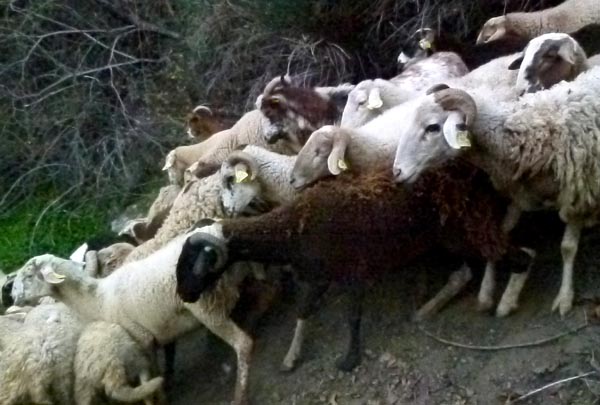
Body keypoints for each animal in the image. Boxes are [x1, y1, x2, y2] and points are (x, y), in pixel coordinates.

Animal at [11, 236, 258, 405]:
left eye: (29, 276)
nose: (13, 297)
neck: (98, 299)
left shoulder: (142, 339)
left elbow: (152, 373)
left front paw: (161, 397)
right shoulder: (160, 329)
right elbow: (166, 360)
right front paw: (168, 381)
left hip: (206, 309)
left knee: (244, 344)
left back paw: (240, 396)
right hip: (237, 281)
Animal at [175, 164, 533, 375]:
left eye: (197, 263)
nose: (184, 295)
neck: (293, 228)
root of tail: (471, 170)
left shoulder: (355, 271)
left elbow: (352, 317)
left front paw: (349, 360)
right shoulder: (320, 276)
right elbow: (303, 311)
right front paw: (291, 357)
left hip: (462, 229)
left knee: (519, 255)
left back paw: (502, 301)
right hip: (440, 238)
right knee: (466, 271)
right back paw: (427, 309)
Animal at [392, 67, 600, 316]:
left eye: (432, 127)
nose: (396, 172)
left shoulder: (577, 193)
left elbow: (567, 247)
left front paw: (565, 297)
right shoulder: (519, 195)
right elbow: (501, 231)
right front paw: (486, 292)